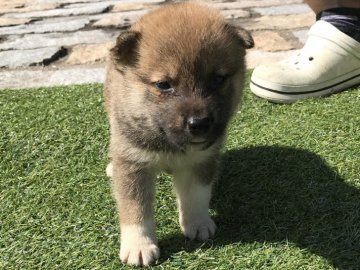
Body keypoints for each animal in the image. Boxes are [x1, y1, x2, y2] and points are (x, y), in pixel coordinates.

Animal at [105, 1, 253, 266]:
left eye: (218, 79)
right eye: (164, 85)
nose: (200, 123)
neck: (169, 142)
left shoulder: (201, 161)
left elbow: (196, 196)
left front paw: (198, 223)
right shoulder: (134, 164)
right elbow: (135, 208)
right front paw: (139, 245)